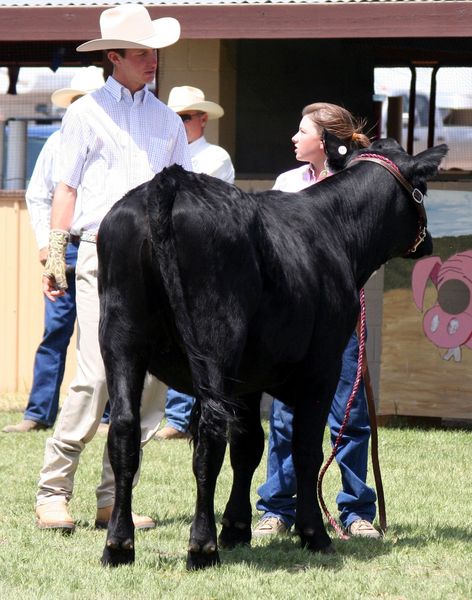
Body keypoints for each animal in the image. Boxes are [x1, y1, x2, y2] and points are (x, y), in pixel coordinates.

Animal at [98, 137, 446, 572]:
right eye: (423, 188)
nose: (429, 241)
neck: (336, 232)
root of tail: (171, 181)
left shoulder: (247, 380)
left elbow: (249, 447)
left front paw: (236, 529)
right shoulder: (322, 367)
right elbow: (305, 450)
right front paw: (313, 534)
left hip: (120, 337)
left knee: (124, 430)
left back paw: (119, 544)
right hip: (215, 338)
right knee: (210, 435)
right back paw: (201, 547)